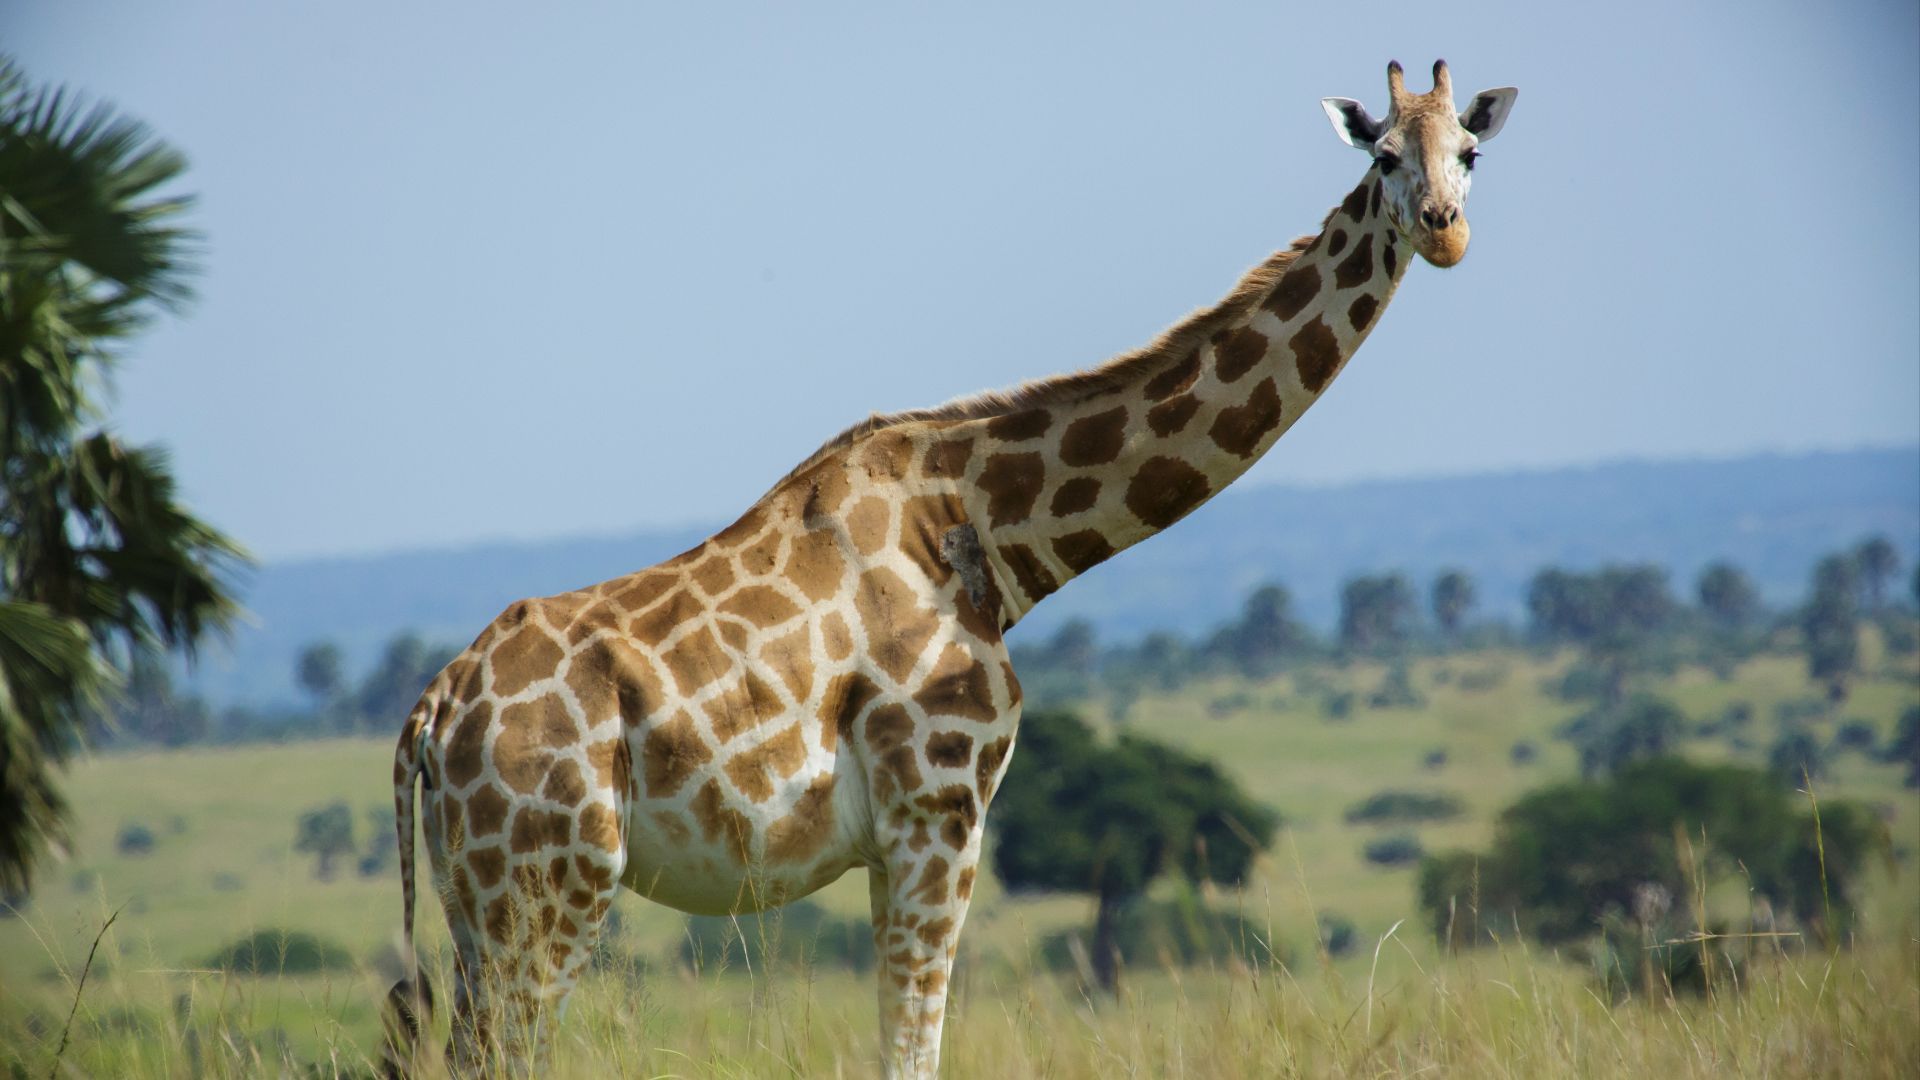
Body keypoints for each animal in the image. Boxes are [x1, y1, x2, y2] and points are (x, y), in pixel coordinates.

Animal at [382, 60, 1516, 1078]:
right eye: (1381, 154)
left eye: (1469, 150)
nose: (1444, 229)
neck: (992, 534)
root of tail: (431, 717)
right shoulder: (940, 808)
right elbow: (912, 1048)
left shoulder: (906, 835)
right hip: (552, 882)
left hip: (481, 900)